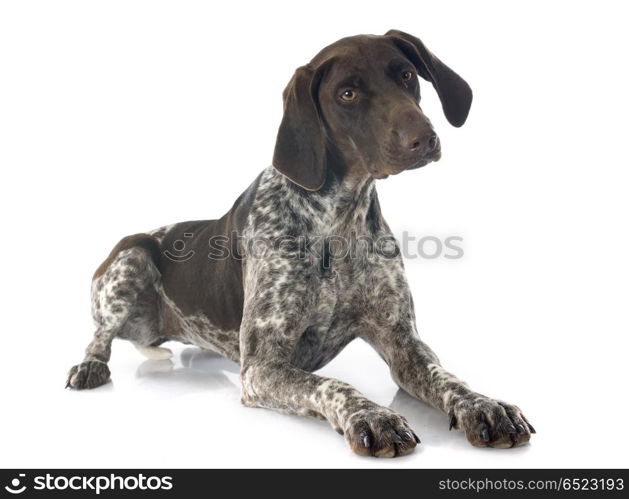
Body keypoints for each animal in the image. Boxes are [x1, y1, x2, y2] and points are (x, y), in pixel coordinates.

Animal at [66, 31, 532, 458]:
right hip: (130, 258)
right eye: (347, 94)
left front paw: (486, 406)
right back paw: (89, 366)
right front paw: (373, 416)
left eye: (405, 75)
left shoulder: (403, 345)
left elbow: (447, 377)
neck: (338, 222)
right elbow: (332, 385)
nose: (424, 138)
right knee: (100, 336)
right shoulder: (262, 367)